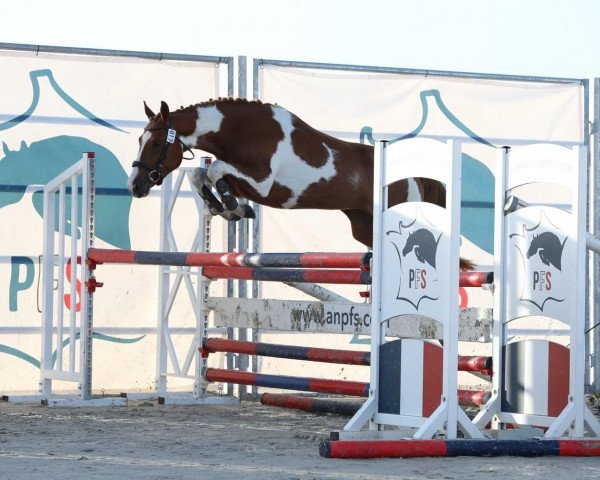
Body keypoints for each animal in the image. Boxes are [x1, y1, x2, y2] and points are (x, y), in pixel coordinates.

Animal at [130, 97, 474, 270]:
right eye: (140, 140)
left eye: (157, 142)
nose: (136, 186)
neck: (242, 129)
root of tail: (415, 174)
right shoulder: (244, 180)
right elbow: (200, 174)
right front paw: (227, 208)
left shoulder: (262, 182)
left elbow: (214, 170)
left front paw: (229, 206)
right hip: (364, 227)